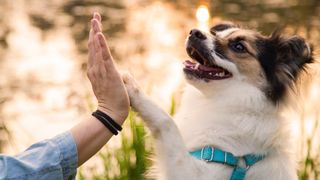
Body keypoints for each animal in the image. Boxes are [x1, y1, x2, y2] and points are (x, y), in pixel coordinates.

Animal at [124, 21, 314, 179]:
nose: (194, 32)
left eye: (239, 46)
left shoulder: (197, 172)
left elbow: (166, 122)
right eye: (217, 34)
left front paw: (132, 87)